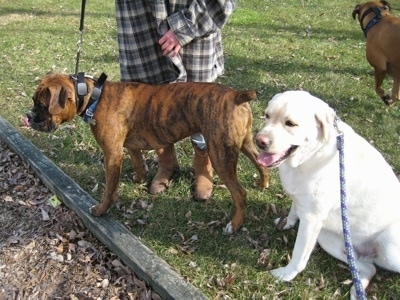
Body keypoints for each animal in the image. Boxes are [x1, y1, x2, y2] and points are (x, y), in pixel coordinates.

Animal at [24, 72, 268, 232]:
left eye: (42, 105)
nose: (29, 116)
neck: (95, 96)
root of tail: (236, 95)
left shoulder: (112, 155)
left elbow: (109, 188)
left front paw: (101, 209)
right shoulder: (129, 148)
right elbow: (137, 162)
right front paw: (139, 179)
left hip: (220, 155)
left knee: (240, 193)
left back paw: (234, 225)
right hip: (246, 144)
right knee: (261, 163)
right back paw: (263, 184)